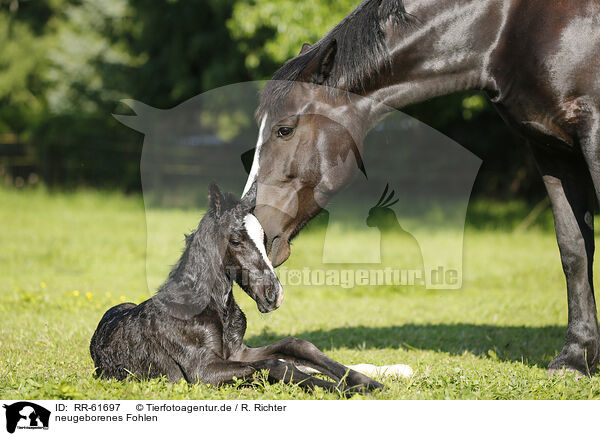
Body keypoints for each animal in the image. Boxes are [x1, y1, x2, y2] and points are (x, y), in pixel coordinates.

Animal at [90, 182, 380, 394]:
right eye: (236, 240)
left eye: (264, 238)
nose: (273, 294)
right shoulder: (202, 372)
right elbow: (278, 364)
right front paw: (347, 390)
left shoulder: (239, 352)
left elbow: (296, 346)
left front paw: (368, 382)